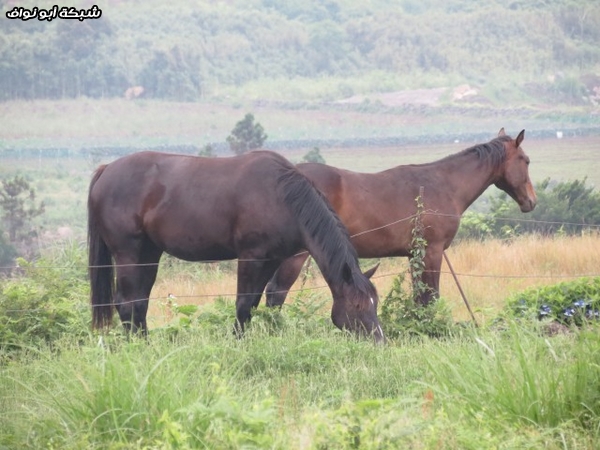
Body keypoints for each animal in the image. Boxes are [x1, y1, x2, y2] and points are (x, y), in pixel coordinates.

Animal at [86, 149, 382, 342]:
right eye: (357, 306)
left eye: (375, 302)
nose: (380, 341)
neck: (280, 196)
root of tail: (106, 170)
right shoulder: (251, 256)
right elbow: (243, 303)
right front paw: (238, 342)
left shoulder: (271, 259)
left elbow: (253, 303)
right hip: (128, 253)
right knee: (125, 302)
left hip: (148, 253)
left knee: (139, 302)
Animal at [264, 128, 536, 308]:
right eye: (526, 160)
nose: (531, 201)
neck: (444, 185)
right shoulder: (432, 251)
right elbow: (430, 296)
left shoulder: (414, 254)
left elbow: (419, 297)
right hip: (296, 255)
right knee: (277, 291)